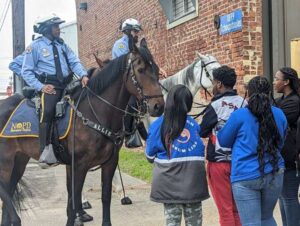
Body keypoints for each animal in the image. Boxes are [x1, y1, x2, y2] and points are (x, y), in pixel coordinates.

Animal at [0, 40, 164, 226]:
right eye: (141, 70)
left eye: (156, 68)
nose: (158, 106)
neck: (95, 113)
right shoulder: (79, 165)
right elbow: (74, 201)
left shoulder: (109, 162)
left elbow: (104, 197)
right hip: (5, 160)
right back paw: (16, 218)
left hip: (19, 159)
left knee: (9, 189)